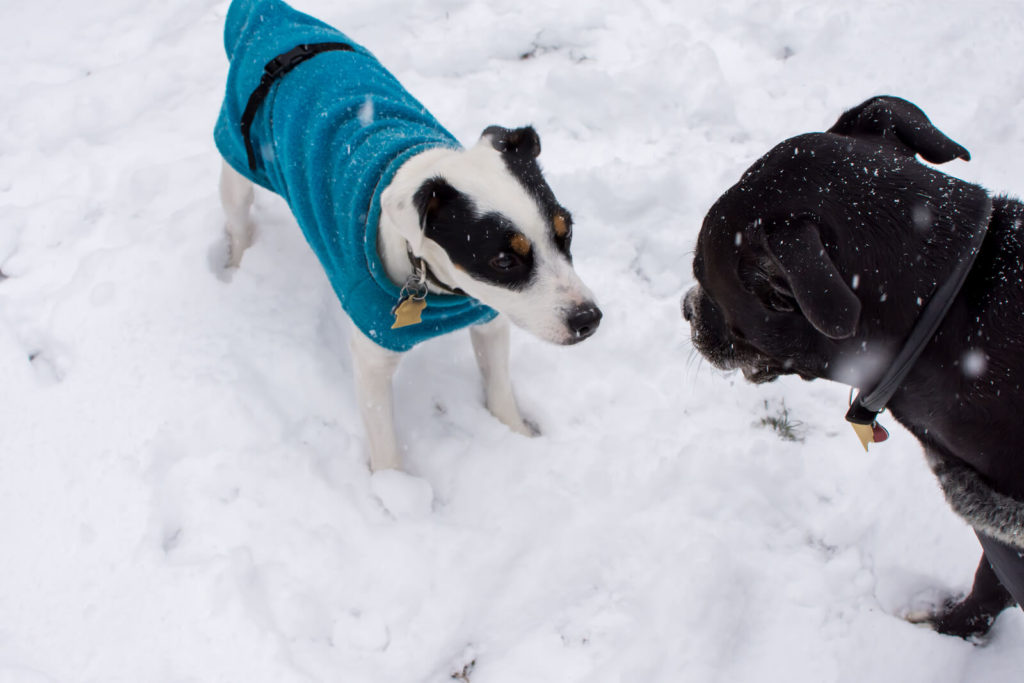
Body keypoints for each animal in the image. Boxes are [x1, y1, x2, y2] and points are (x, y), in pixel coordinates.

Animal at [679, 97, 1024, 643]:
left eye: (702, 277)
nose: (684, 310)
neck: (942, 321)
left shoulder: (1003, 532)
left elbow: (989, 587)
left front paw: (945, 628)